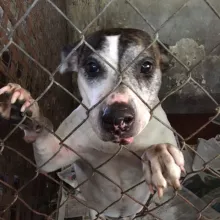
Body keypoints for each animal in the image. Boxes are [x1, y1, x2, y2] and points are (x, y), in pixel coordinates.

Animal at [0, 28, 185, 219]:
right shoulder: (54, 154)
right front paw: (25, 107)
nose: (117, 117)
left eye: (146, 66)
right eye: (92, 67)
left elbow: (157, 148)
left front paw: (159, 153)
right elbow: (46, 148)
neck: (116, 147)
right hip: (94, 208)